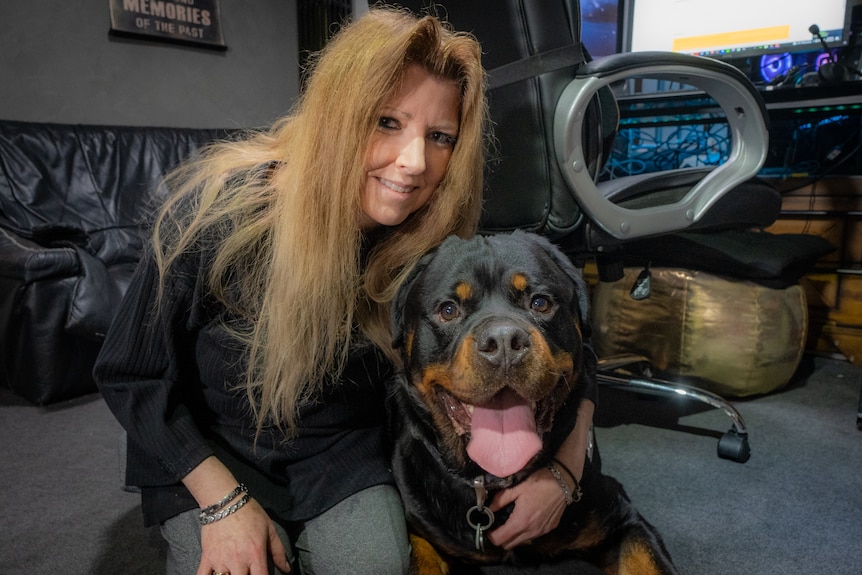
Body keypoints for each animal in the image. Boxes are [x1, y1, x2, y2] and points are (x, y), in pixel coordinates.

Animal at [388, 232, 680, 575]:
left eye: (540, 303)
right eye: (448, 310)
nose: (503, 341)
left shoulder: (620, 517)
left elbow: (647, 559)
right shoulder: (421, 528)